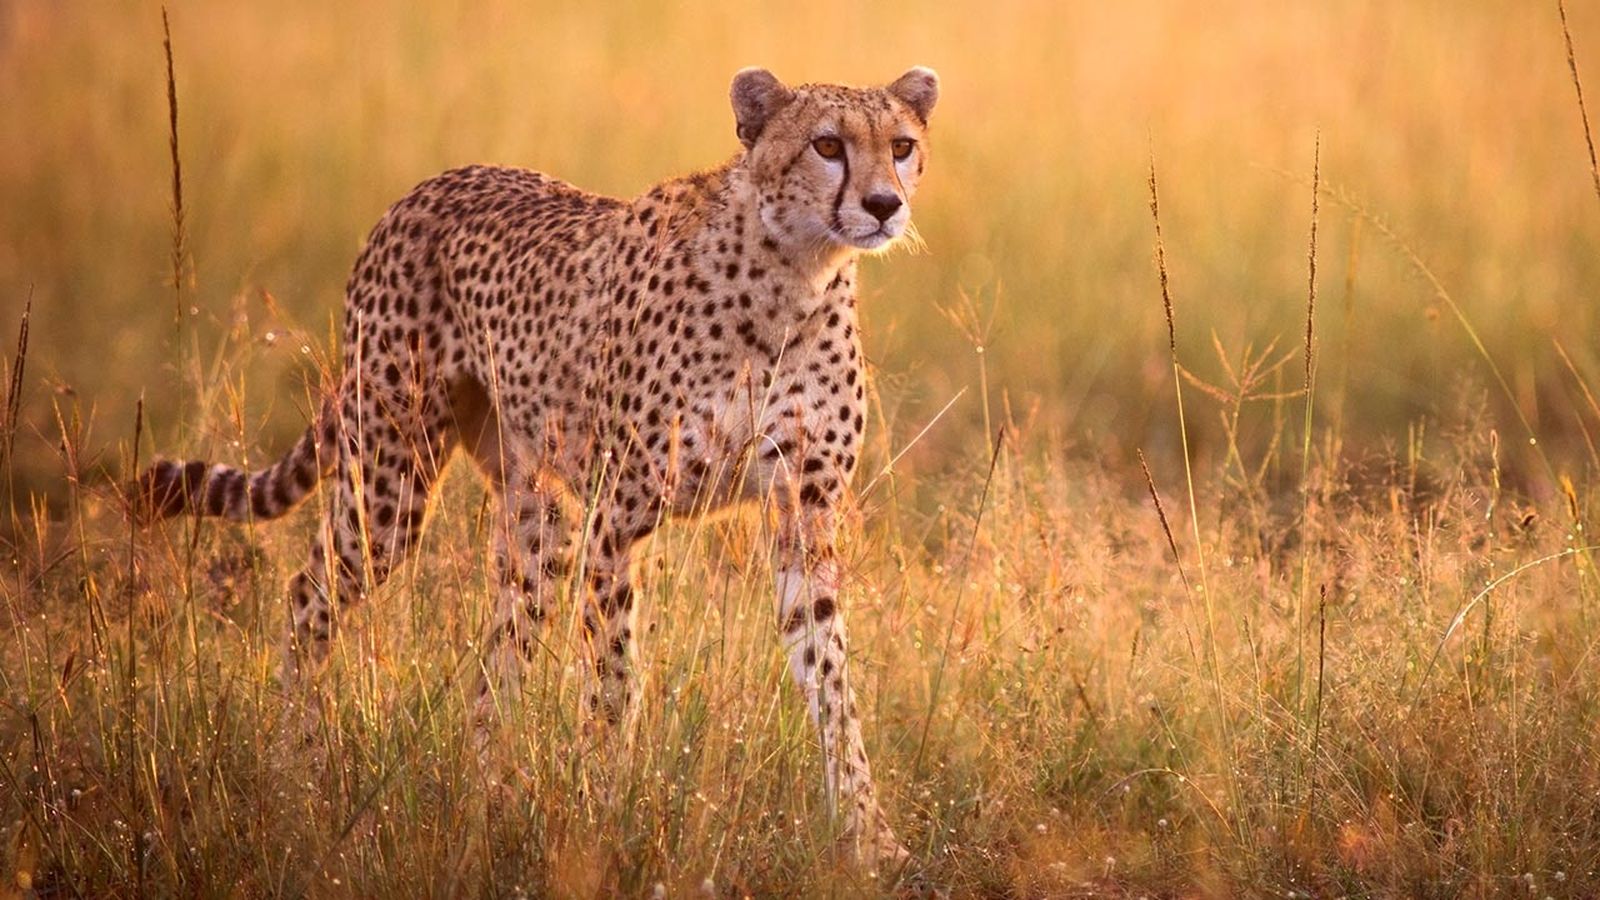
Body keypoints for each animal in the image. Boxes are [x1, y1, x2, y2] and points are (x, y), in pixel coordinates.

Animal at [135, 66, 938, 864]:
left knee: (498, 657)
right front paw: (610, 815)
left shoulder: (805, 515)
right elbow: (615, 682)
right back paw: (294, 766)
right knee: (310, 595)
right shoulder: (618, 517)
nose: (883, 205)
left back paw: (489, 794)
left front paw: (868, 835)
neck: (793, 276)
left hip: (539, 520)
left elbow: (831, 680)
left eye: (901, 146)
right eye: (827, 145)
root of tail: (429, 185)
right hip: (391, 479)